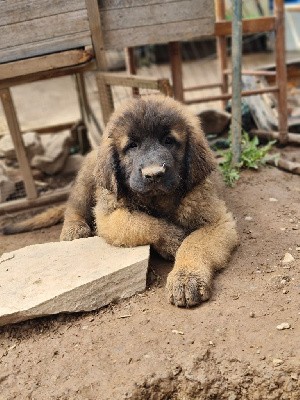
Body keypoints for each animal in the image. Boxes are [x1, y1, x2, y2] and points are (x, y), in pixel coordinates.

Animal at [61, 95, 239, 308]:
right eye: (132, 146)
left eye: (169, 141)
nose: (154, 174)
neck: (158, 200)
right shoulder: (108, 215)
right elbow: (139, 223)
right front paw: (173, 239)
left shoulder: (216, 220)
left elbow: (194, 243)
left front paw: (186, 278)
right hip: (88, 178)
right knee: (74, 204)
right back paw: (73, 228)